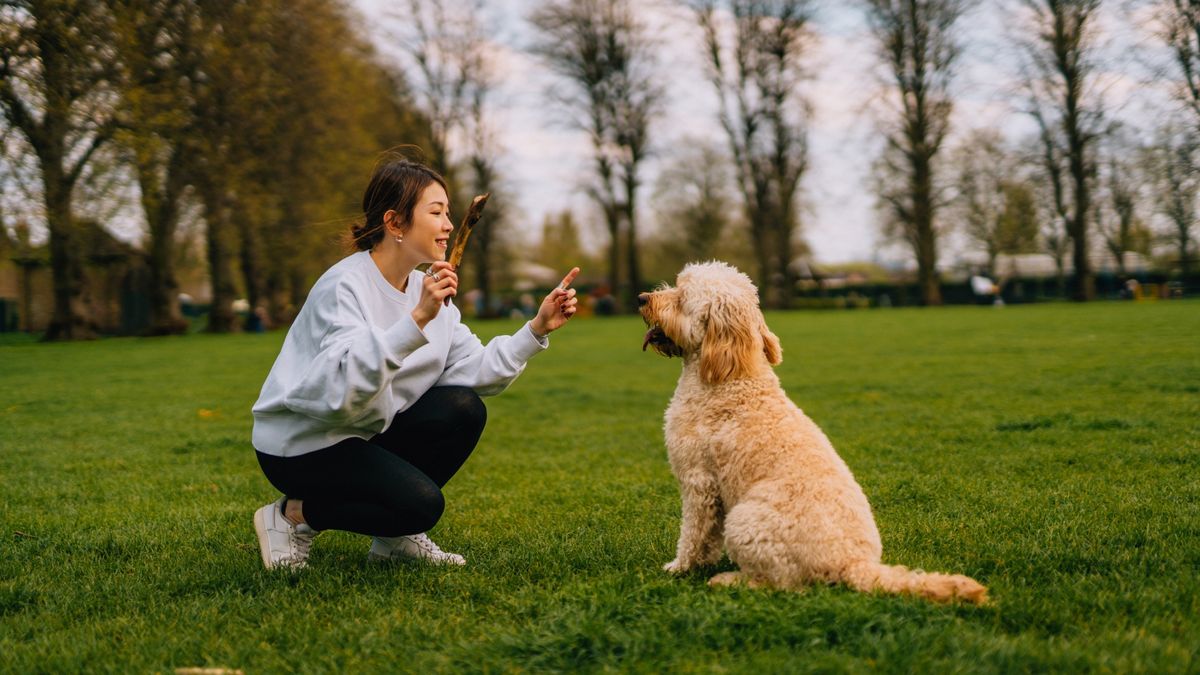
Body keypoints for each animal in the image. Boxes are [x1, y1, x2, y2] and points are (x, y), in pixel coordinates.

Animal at [643, 260, 988, 600]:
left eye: (681, 296)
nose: (642, 298)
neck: (732, 378)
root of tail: (854, 564)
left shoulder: (698, 481)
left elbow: (693, 534)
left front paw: (680, 567)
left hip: (745, 521)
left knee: (782, 583)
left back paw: (731, 580)